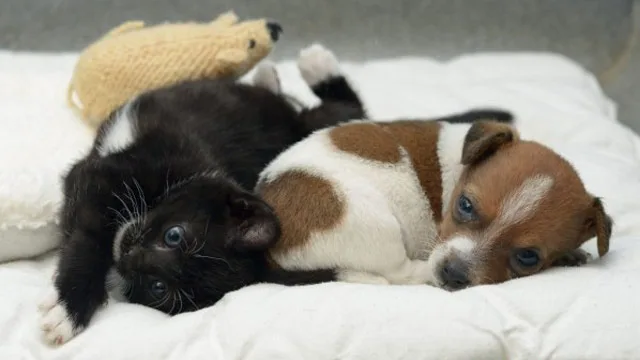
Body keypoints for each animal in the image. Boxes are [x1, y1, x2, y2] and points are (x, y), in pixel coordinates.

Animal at [38, 45, 364, 346]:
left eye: (158, 287)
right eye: (174, 235)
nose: (128, 259)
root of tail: (292, 118)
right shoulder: (102, 176)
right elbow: (89, 238)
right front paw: (70, 309)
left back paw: (286, 71)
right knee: (346, 111)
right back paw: (312, 63)